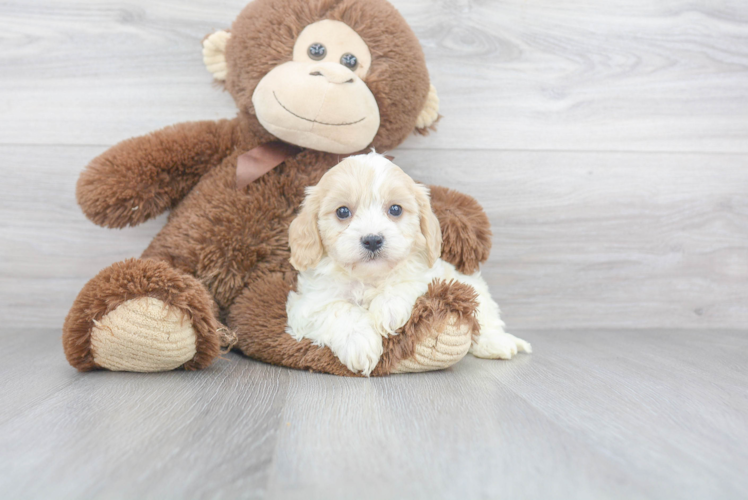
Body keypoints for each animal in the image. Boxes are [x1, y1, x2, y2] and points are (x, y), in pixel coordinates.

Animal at [286, 152, 532, 376]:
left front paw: (387, 309)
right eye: (343, 211)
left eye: (395, 209)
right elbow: (340, 310)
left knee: (485, 317)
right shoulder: (309, 304)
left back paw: (498, 343)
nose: (373, 240)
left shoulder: (432, 274)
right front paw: (360, 343)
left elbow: (409, 283)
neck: (370, 278)